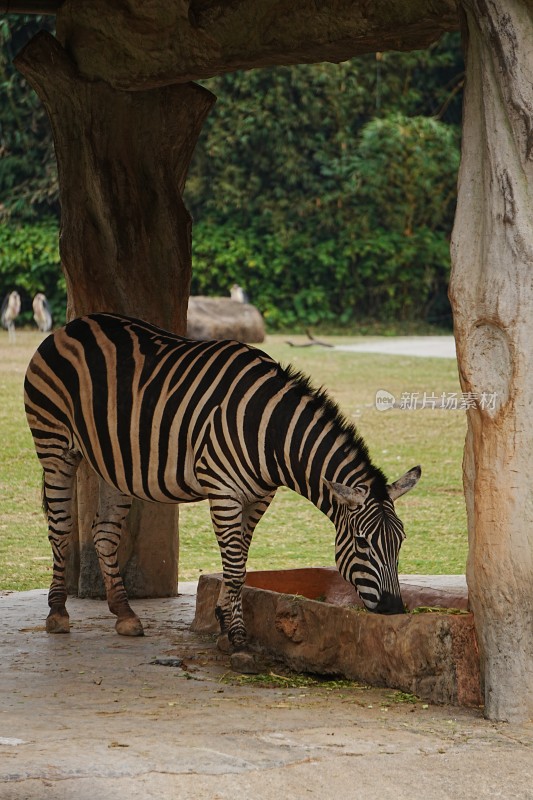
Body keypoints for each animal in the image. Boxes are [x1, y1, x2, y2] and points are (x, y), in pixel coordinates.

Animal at [23, 314, 420, 648]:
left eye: (400, 541)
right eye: (362, 542)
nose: (393, 609)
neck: (270, 432)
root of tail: (74, 324)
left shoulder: (260, 496)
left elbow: (240, 557)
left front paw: (224, 621)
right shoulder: (225, 491)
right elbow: (234, 564)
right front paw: (238, 636)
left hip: (111, 461)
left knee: (104, 533)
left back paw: (125, 614)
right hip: (55, 445)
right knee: (60, 527)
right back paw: (57, 613)